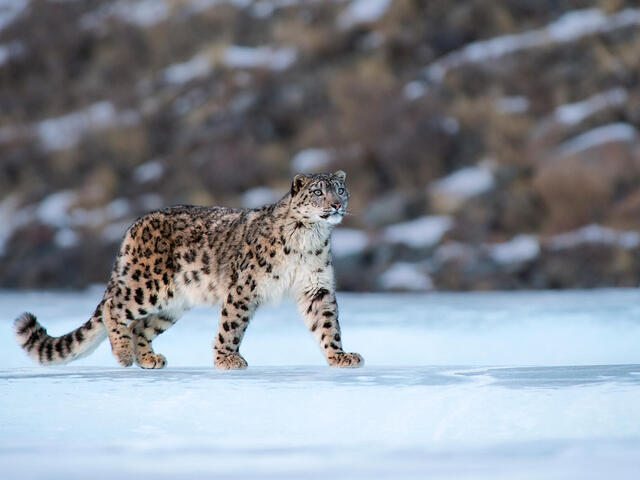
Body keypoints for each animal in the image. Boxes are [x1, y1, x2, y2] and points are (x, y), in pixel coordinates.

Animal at [14, 171, 364, 370]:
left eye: (340, 189)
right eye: (318, 192)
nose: (336, 204)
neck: (310, 238)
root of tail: (134, 225)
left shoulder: (316, 286)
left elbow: (327, 325)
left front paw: (339, 355)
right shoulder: (244, 287)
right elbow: (232, 325)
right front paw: (226, 359)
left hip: (172, 304)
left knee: (141, 327)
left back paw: (149, 359)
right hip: (147, 286)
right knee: (115, 306)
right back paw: (124, 354)